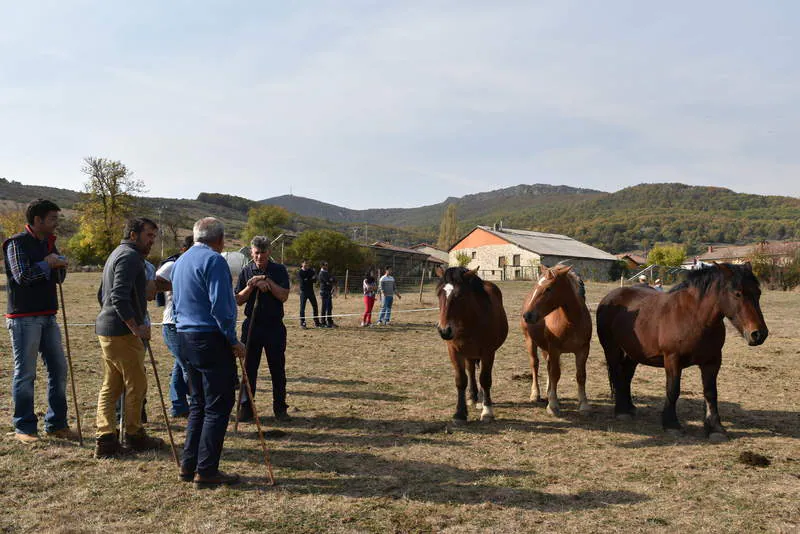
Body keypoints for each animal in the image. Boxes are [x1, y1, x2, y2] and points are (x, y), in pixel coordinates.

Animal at [438, 268, 506, 428]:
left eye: (460, 296)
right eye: (439, 294)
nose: (444, 331)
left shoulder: (488, 352)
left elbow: (485, 379)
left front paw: (487, 411)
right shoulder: (454, 352)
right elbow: (461, 380)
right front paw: (459, 414)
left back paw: (481, 399)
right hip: (468, 353)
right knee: (470, 371)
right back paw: (472, 396)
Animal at [520, 266, 592, 416]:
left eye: (548, 288)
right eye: (537, 286)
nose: (527, 315)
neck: (571, 321)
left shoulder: (583, 350)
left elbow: (581, 375)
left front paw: (584, 404)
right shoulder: (555, 349)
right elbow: (555, 374)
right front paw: (552, 405)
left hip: (545, 348)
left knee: (548, 366)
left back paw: (548, 392)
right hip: (530, 341)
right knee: (535, 365)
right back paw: (535, 394)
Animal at [596, 264, 772, 444]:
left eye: (758, 293)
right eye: (737, 293)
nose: (759, 334)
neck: (695, 318)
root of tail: (610, 298)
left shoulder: (712, 362)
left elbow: (711, 393)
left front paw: (715, 428)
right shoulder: (673, 359)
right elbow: (673, 390)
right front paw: (671, 425)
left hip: (633, 354)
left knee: (626, 377)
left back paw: (629, 408)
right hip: (611, 349)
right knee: (617, 375)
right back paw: (621, 411)